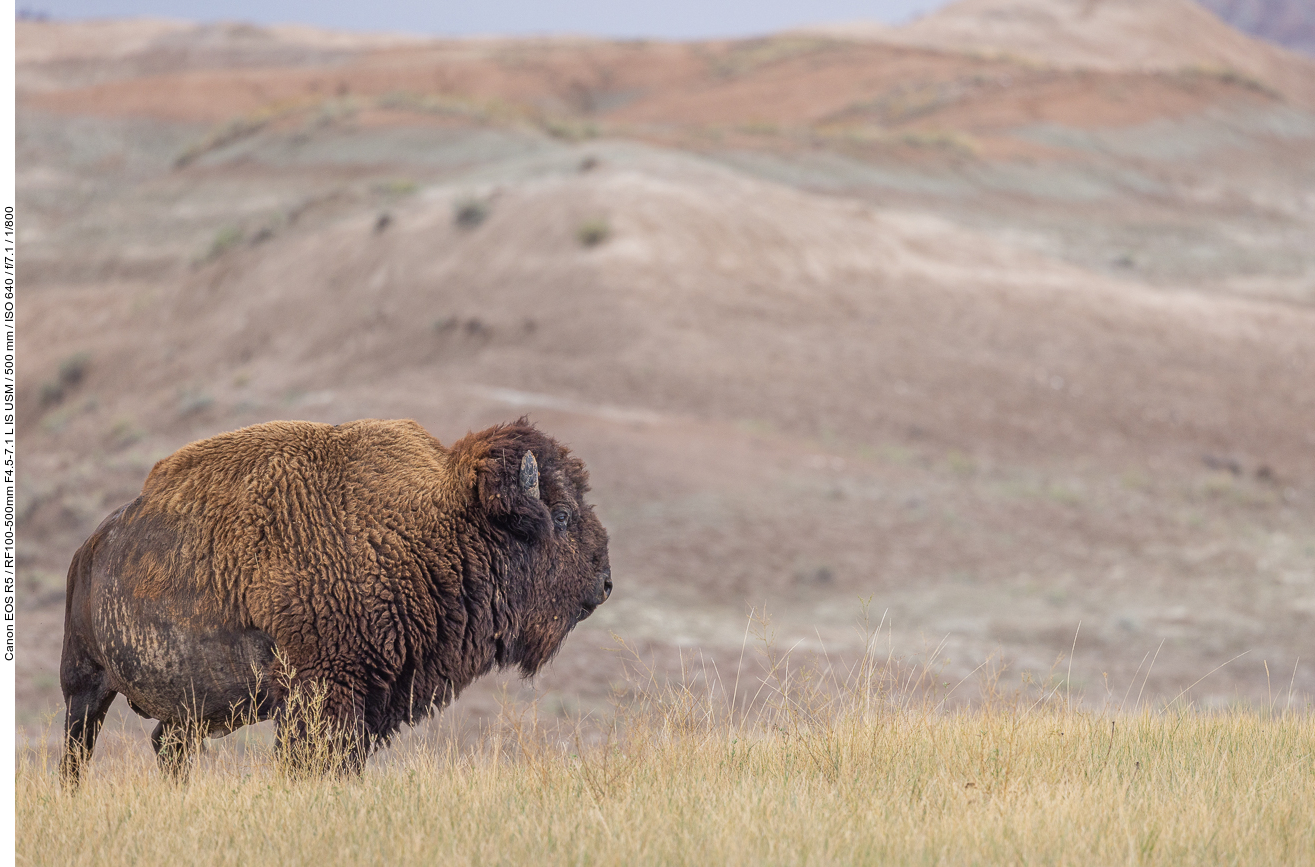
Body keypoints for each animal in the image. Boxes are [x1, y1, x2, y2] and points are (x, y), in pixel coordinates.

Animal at [59, 418, 612, 784]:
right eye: (561, 515)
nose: (604, 583)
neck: (428, 528)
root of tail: (90, 548)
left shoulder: (370, 698)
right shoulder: (321, 690)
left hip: (194, 710)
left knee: (167, 746)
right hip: (85, 682)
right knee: (77, 748)